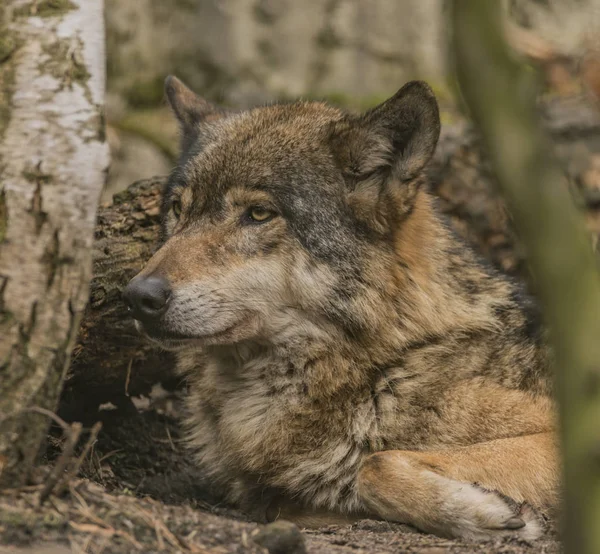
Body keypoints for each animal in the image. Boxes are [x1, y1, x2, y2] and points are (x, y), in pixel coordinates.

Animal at [122, 75, 556, 536]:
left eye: (258, 213)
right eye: (177, 209)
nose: (138, 297)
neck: (382, 368)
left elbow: (373, 467)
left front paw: (479, 510)